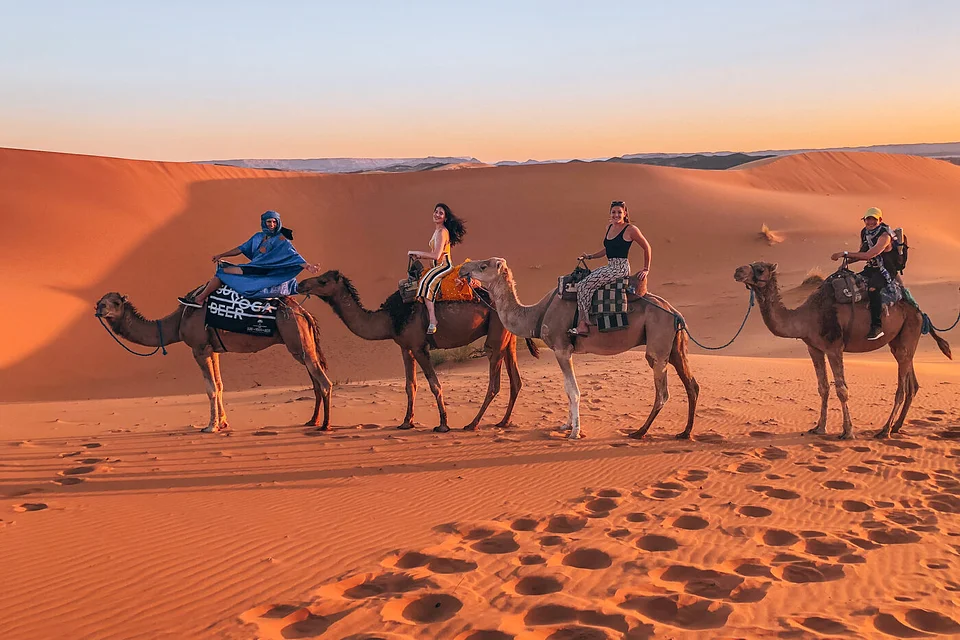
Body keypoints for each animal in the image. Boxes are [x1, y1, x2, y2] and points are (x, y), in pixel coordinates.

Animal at [95, 293, 332, 432]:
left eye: (115, 302)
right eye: (100, 301)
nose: (99, 309)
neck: (177, 322)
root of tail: (304, 312)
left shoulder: (199, 349)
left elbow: (210, 388)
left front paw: (211, 426)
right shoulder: (214, 350)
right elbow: (219, 385)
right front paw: (224, 422)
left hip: (295, 337)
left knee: (323, 381)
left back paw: (325, 425)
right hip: (303, 342)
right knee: (315, 380)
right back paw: (312, 421)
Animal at [299, 271, 539, 432]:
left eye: (323, 280)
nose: (301, 283)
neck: (389, 318)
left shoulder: (419, 346)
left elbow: (434, 384)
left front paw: (443, 424)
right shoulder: (405, 347)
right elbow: (410, 385)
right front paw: (407, 422)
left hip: (496, 338)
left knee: (495, 382)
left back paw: (473, 423)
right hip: (508, 337)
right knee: (516, 380)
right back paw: (504, 421)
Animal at [458, 258, 700, 440]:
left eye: (483, 266)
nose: (462, 269)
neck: (537, 314)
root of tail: (676, 314)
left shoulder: (562, 349)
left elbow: (573, 391)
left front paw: (575, 432)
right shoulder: (565, 351)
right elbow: (567, 389)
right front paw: (566, 425)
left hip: (658, 344)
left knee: (662, 392)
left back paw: (640, 432)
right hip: (675, 348)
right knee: (692, 385)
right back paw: (685, 433)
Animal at [734, 262, 952, 439]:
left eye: (760, 269)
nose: (737, 271)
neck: (806, 317)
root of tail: (920, 311)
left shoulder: (834, 347)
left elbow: (841, 390)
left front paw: (847, 432)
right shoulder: (814, 348)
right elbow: (823, 388)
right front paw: (819, 428)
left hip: (909, 331)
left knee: (901, 388)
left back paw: (885, 430)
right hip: (900, 341)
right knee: (911, 382)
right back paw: (897, 427)